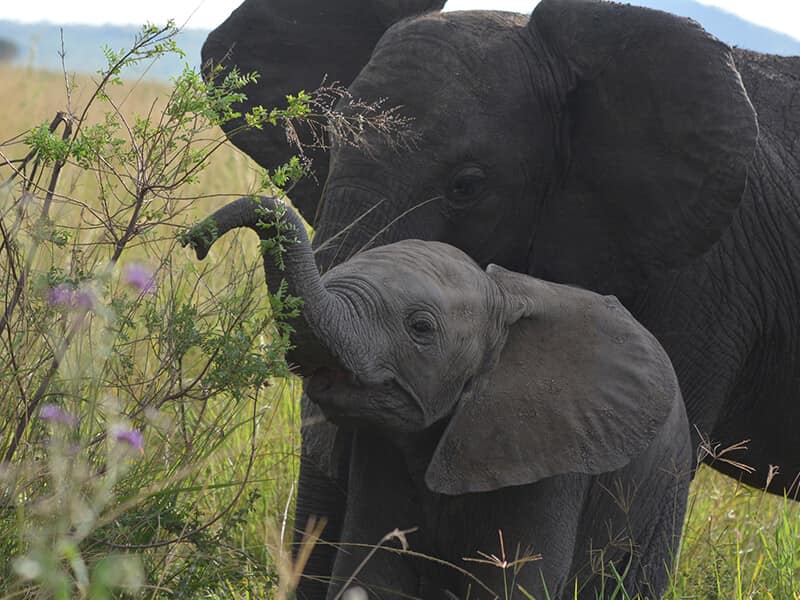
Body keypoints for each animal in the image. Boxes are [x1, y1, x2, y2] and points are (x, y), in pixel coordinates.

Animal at [183, 196, 692, 599]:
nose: (195, 241)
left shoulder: (552, 452)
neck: (499, 298)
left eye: (420, 328)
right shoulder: (383, 445)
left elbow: (515, 585)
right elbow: (376, 575)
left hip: (665, 494)